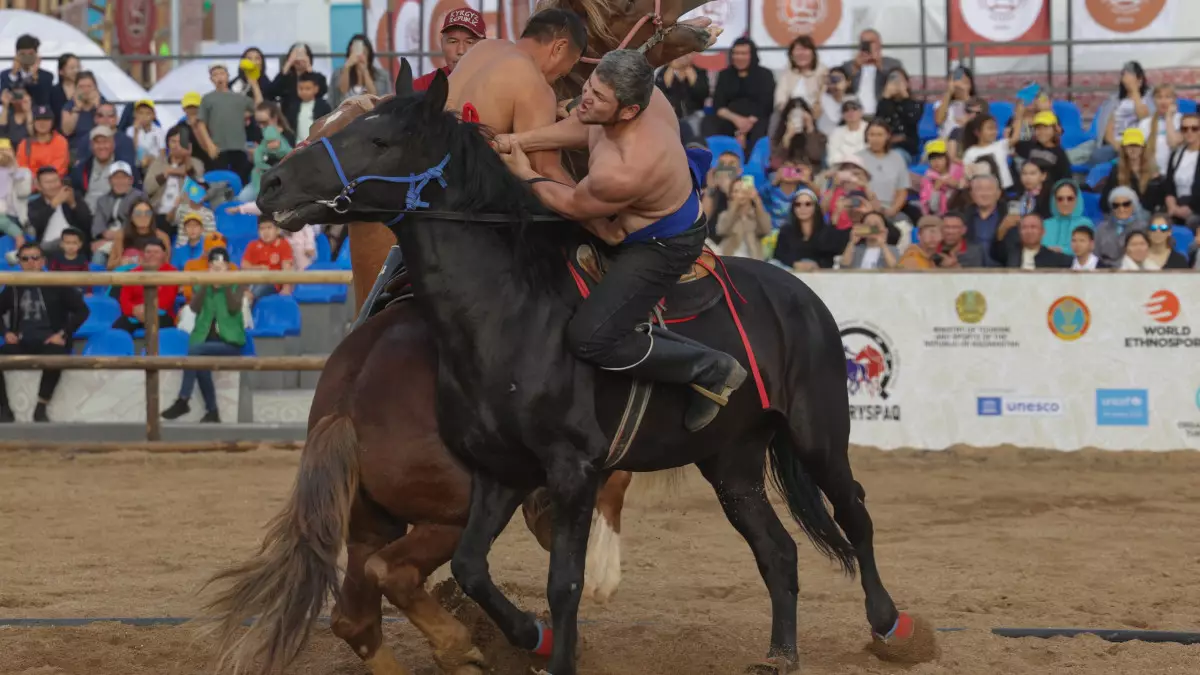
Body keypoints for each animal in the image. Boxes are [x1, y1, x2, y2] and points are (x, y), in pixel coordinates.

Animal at [255, 70, 926, 667]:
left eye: (378, 140)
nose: (273, 181)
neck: (509, 310)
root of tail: (799, 294)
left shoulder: (571, 471)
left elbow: (565, 585)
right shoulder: (501, 471)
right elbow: (474, 569)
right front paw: (529, 638)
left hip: (819, 436)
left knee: (854, 513)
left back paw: (894, 628)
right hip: (731, 461)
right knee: (778, 551)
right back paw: (781, 653)